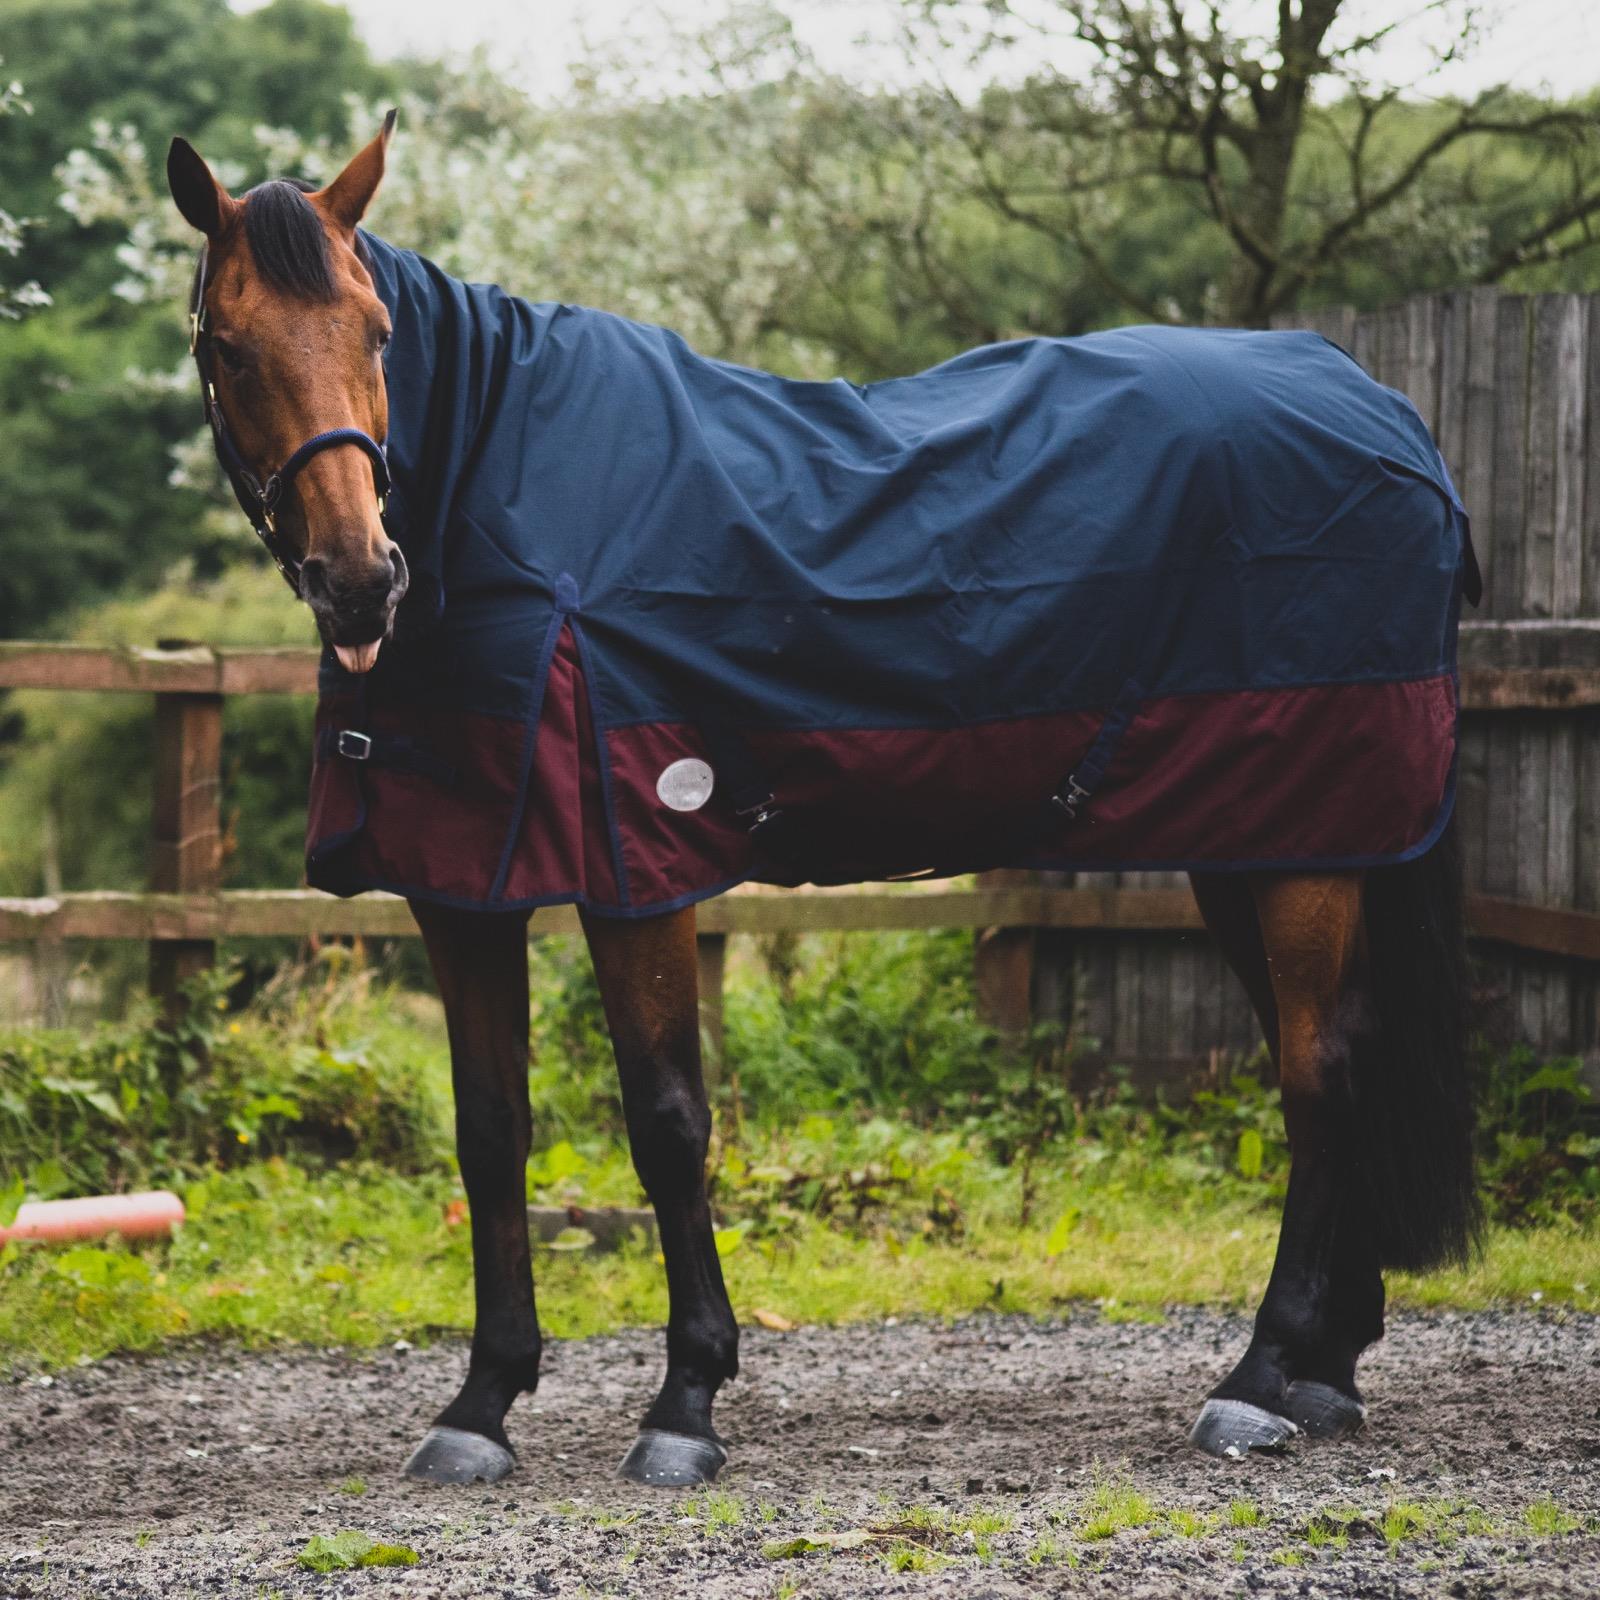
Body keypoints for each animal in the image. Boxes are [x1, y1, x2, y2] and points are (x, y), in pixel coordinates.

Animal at [166, 116, 1481, 1489]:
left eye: (376, 330)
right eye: (229, 346)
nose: (360, 577)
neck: (513, 504)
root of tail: (1383, 412)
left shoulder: (639, 875)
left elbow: (667, 1122)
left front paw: (685, 1401)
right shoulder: (462, 887)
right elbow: (489, 1134)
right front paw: (481, 1402)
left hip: (1304, 843)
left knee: (1318, 1069)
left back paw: (1258, 1376)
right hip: (1262, 837)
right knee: (1334, 1052)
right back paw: (1328, 1369)